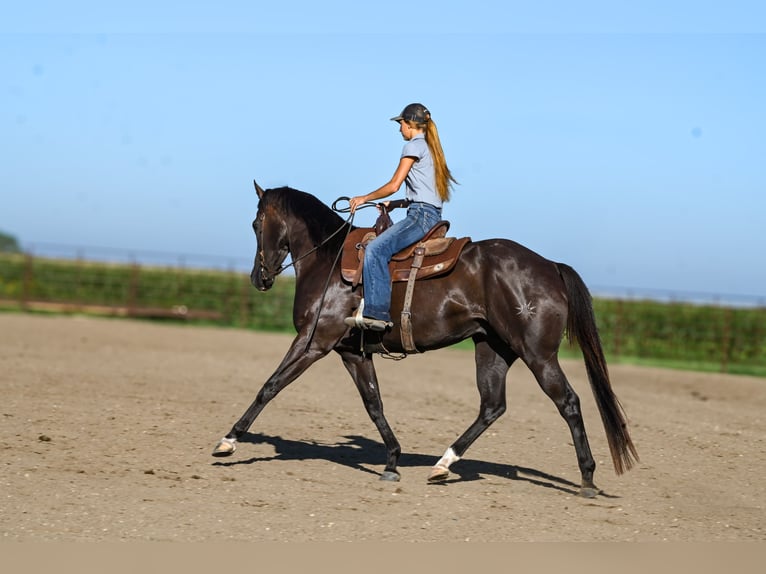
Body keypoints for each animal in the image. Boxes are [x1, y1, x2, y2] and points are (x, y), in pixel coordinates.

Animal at [212, 182, 638, 497]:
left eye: (256, 223)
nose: (259, 278)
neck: (328, 260)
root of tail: (550, 266)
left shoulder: (313, 341)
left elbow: (270, 386)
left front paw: (228, 441)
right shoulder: (352, 352)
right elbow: (374, 404)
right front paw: (392, 461)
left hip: (538, 354)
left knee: (568, 402)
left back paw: (587, 478)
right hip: (492, 349)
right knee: (492, 406)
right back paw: (442, 465)